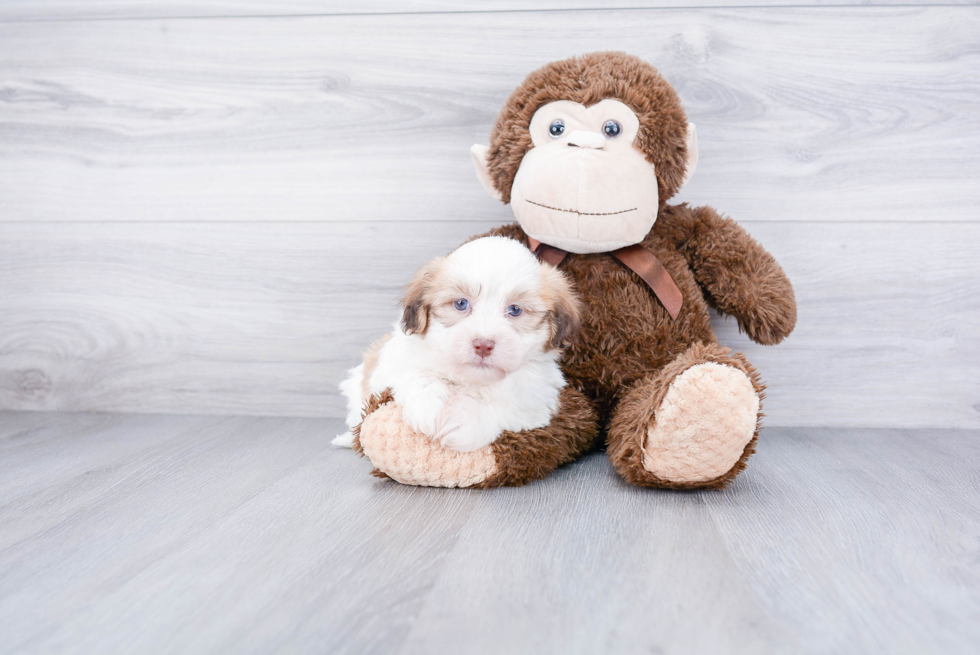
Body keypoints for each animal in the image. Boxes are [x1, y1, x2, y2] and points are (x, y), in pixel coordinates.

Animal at [334, 238, 580, 454]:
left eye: (515, 310)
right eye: (461, 304)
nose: (483, 345)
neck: (470, 379)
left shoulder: (535, 404)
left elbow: (498, 407)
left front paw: (461, 421)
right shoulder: (394, 363)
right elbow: (415, 374)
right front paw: (427, 406)